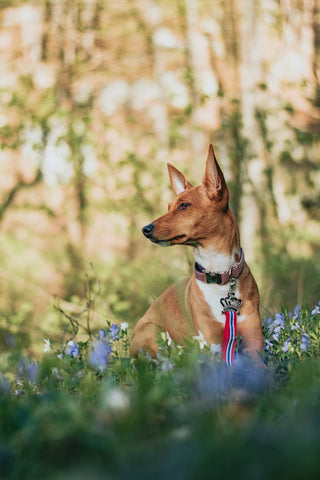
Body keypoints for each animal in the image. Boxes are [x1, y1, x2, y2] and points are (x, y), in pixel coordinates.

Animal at [130, 144, 262, 362]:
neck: (219, 272)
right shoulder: (212, 340)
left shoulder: (253, 337)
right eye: (168, 208)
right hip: (152, 330)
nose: (145, 229)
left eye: (184, 205)